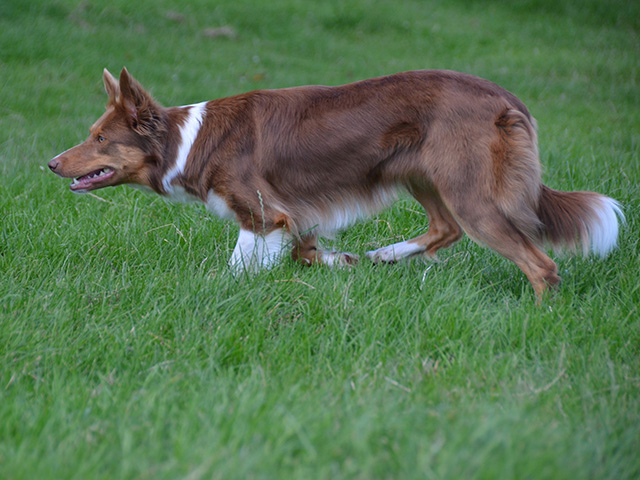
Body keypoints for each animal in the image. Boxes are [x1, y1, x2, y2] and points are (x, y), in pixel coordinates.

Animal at [48, 68, 623, 299]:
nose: (51, 164)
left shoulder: (264, 214)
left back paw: (538, 318)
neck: (189, 140)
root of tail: (505, 96)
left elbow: (235, 269)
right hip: (419, 173)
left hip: (469, 192)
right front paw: (342, 262)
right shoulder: (293, 216)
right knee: (445, 229)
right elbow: (305, 252)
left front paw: (213, 290)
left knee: (540, 264)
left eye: (100, 138)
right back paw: (386, 255)